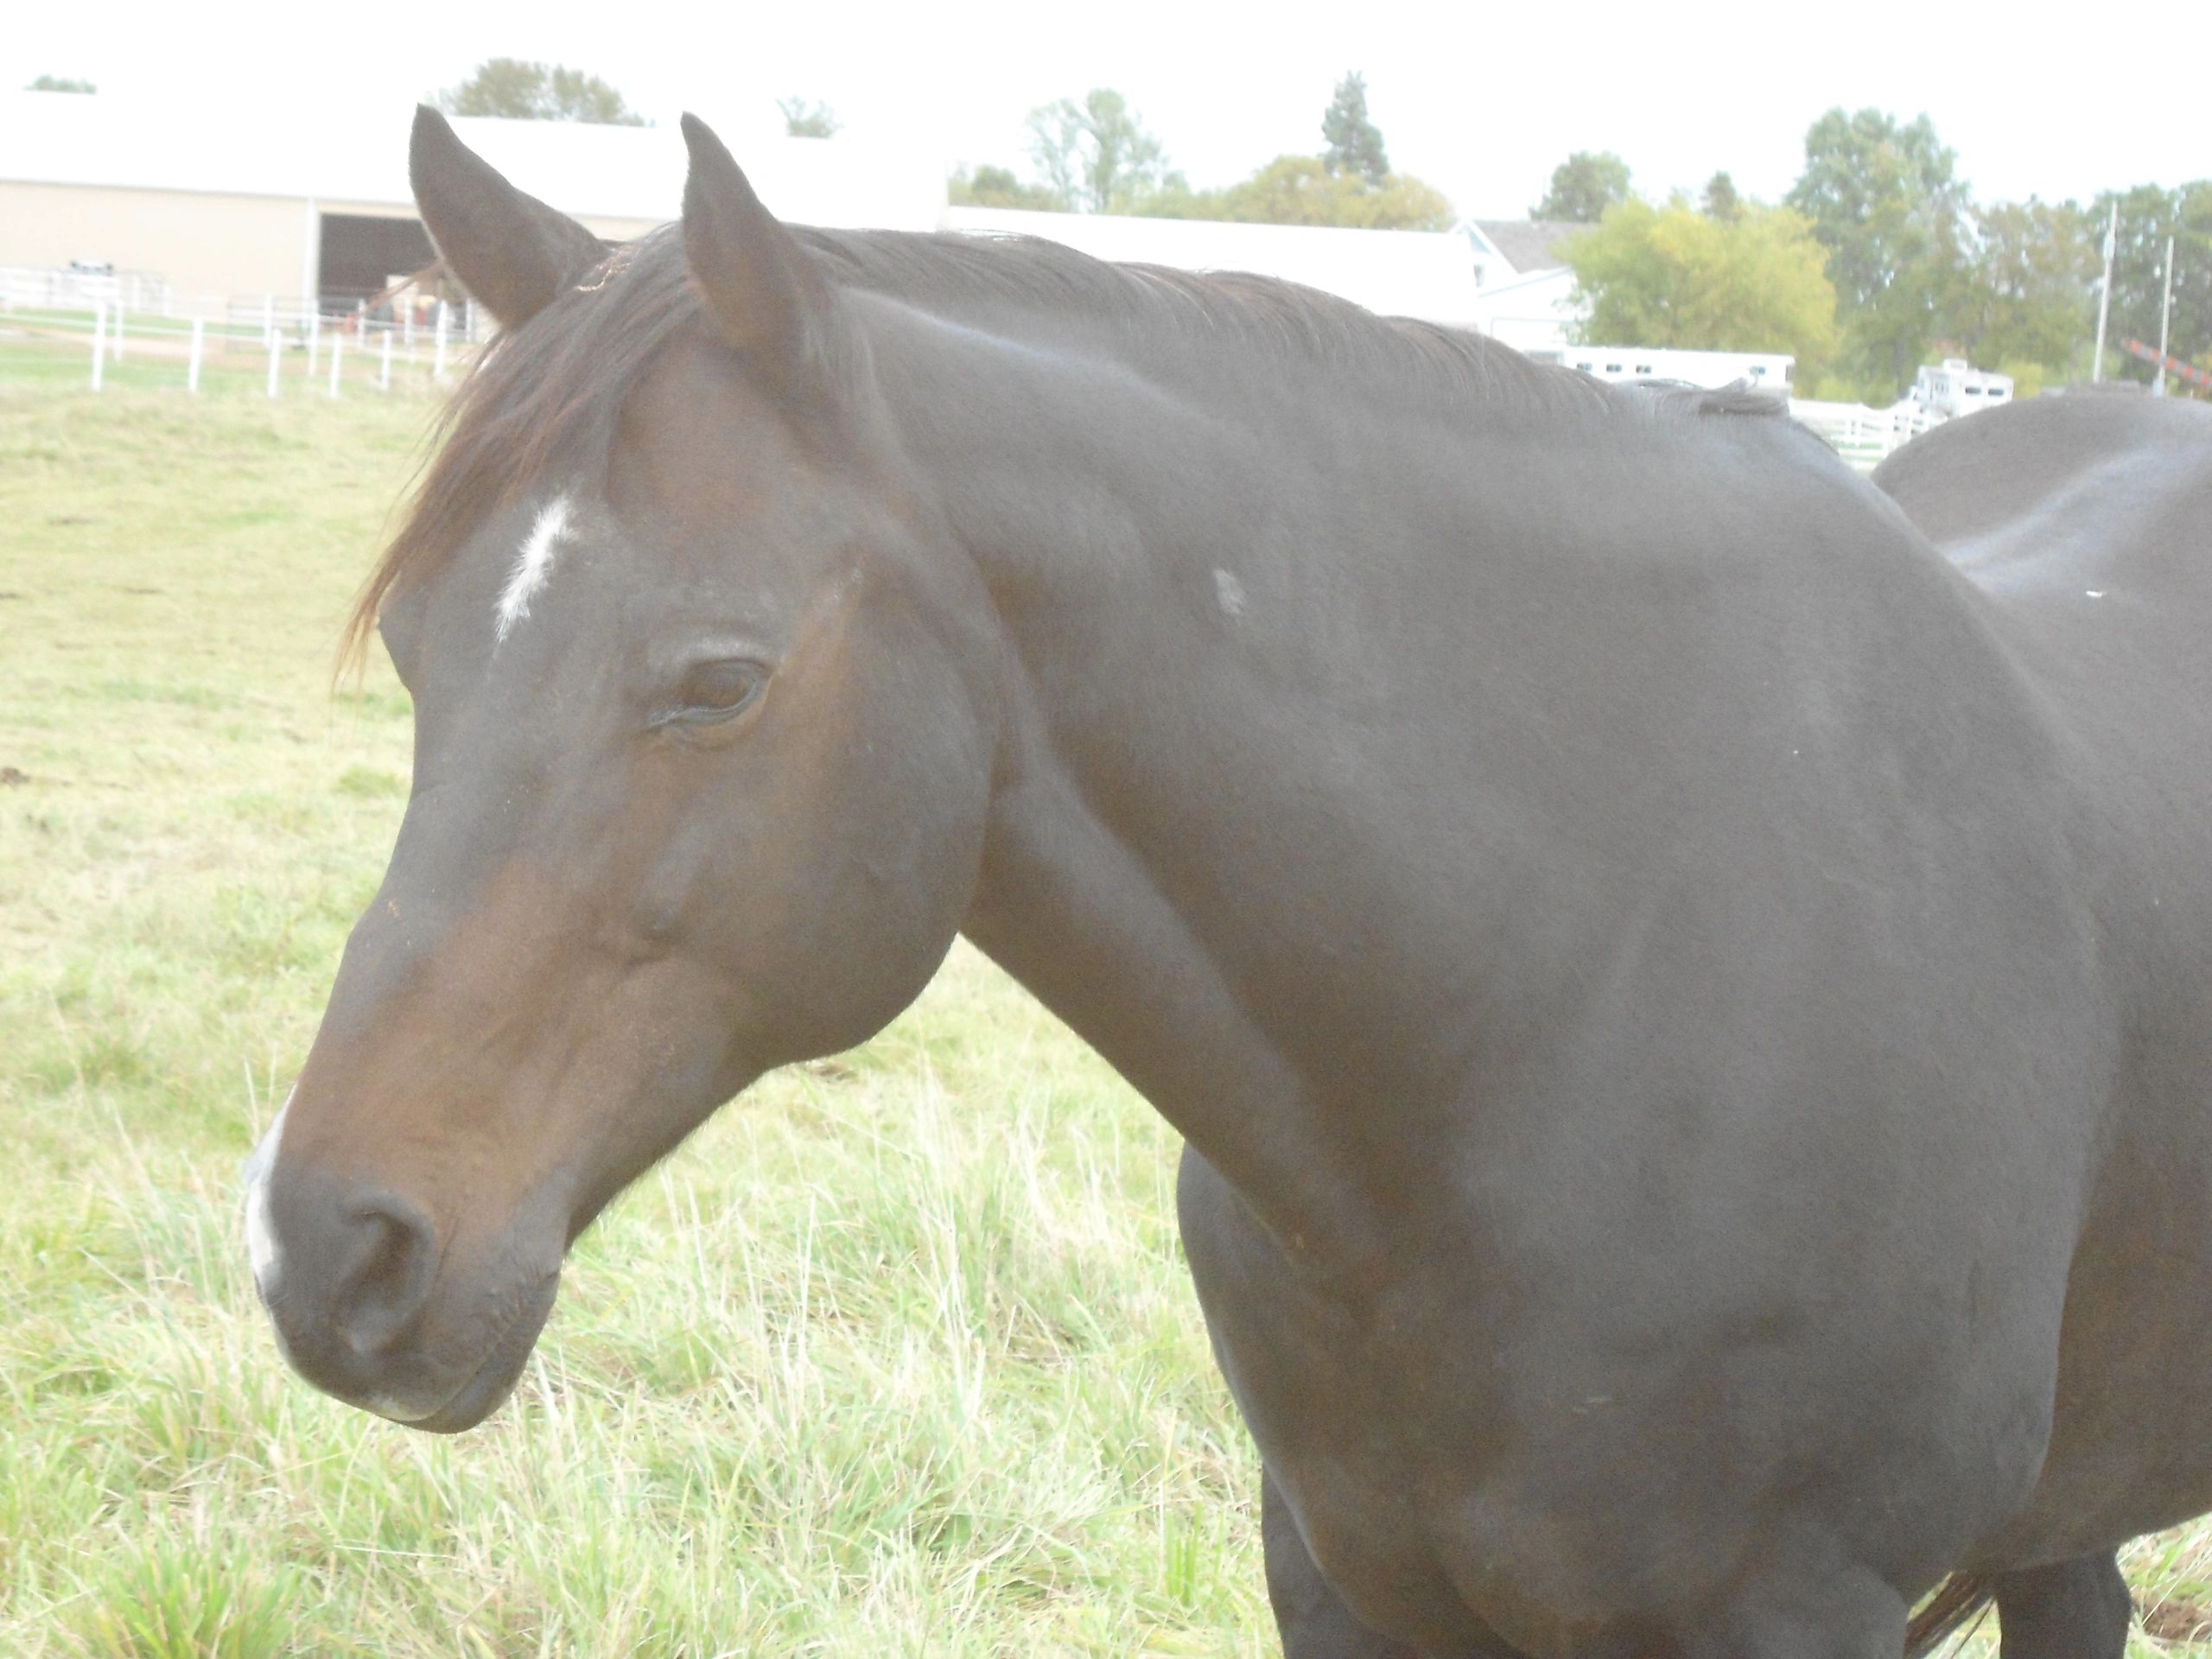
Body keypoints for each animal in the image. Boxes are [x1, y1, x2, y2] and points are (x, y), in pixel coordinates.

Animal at [243, 105, 2212, 1657]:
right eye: (419, 649)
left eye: (718, 682)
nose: (323, 1250)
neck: (1576, 980)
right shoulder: (1343, 1581)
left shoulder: (1797, 1608)